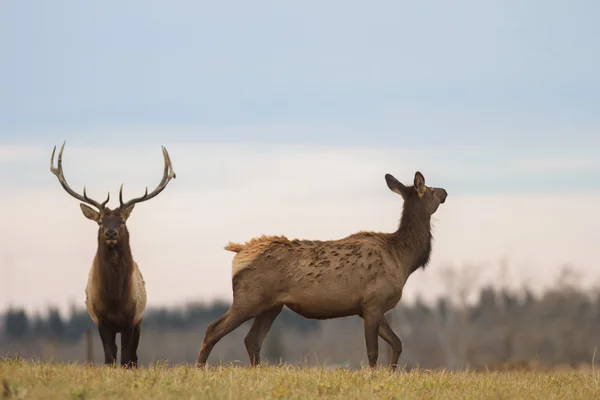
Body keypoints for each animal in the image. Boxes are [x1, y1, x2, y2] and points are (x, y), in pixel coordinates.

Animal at [49, 141, 176, 368]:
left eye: (122, 221)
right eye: (100, 222)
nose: (110, 232)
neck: (115, 297)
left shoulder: (131, 318)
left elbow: (126, 357)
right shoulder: (101, 319)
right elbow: (109, 357)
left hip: (139, 320)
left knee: (133, 356)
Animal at [195, 170, 448, 370]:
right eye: (431, 189)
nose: (445, 191)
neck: (403, 259)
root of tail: (238, 251)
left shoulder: (369, 308)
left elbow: (397, 343)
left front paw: (392, 372)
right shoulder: (373, 302)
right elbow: (373, 352)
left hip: (271, 306)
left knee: (252, 340)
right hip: (248, 298)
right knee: (213, 329)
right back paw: (199, 368)